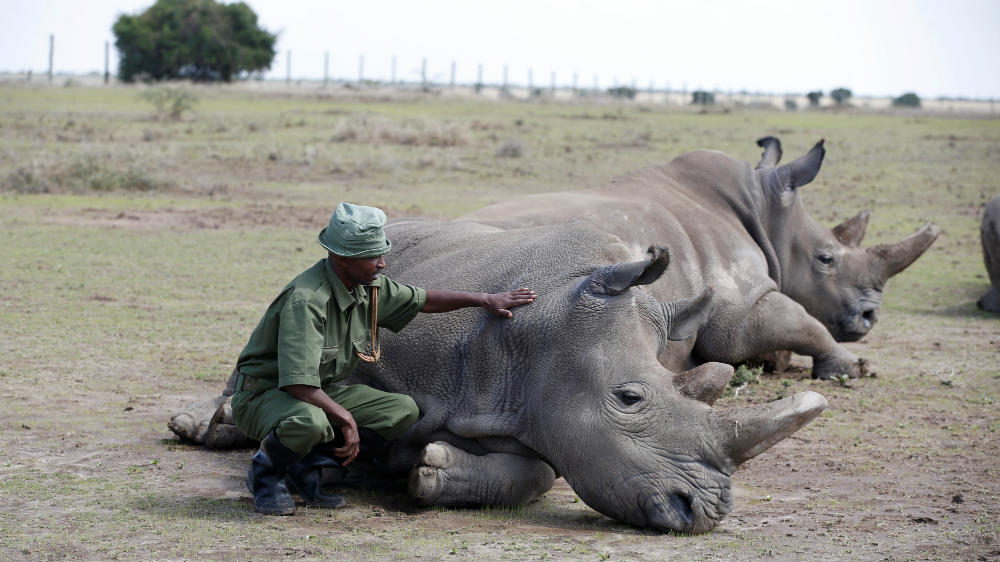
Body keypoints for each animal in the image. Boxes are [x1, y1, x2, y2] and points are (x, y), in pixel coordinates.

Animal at [171, 219, 827, 534]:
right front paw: (366, 462)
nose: (706, 513)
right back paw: (205, 427)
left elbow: (537, 472)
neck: (547, 327)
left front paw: (429, 471)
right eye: (629, 398)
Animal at [462, 137, 940, 379]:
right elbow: (801, 321)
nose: (869, 316)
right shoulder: (739, 306)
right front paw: (851, 368)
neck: (764, 208)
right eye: (826, 259)